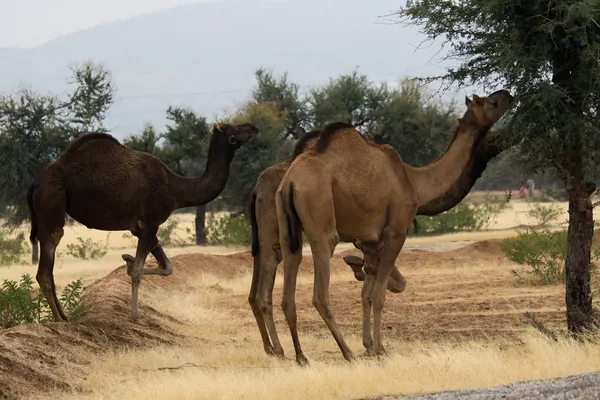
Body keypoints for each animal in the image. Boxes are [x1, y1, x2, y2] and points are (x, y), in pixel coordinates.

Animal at [27, 122, 258, 322]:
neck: (176, 189)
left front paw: (127, 261)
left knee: (48, 271)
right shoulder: (151, 221)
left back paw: (65, 317)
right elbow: (140, 270)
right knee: (45, 267)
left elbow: (167, 267)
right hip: (52, 202)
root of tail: (36, 181)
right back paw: (59, 319)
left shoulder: (140, 227)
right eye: (234, 129)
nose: (254, 127)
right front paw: (135, 314)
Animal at [274, 90, 512, 366]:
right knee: (320, 294)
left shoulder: (371, 242)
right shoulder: (396, 232)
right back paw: (347, 352)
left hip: (287, 227)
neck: (415, 182)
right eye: (489, 101)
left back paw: (301, 356)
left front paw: (369, 344)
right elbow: (379, 294)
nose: (508, 94)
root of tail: (290, 182)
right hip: (321, 222)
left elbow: (367, 293)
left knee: (288, 292)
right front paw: (380, 349)